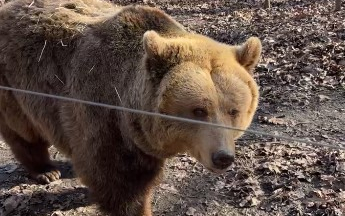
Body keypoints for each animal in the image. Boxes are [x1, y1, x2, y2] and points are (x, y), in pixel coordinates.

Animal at [0, 0, 260, 215]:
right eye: (199, 110)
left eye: (234, 111)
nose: (223, 157)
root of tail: (9, 7)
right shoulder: (102, 113)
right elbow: (119, 182)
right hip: (16, 83)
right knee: (23, 130)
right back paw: (45, 170)